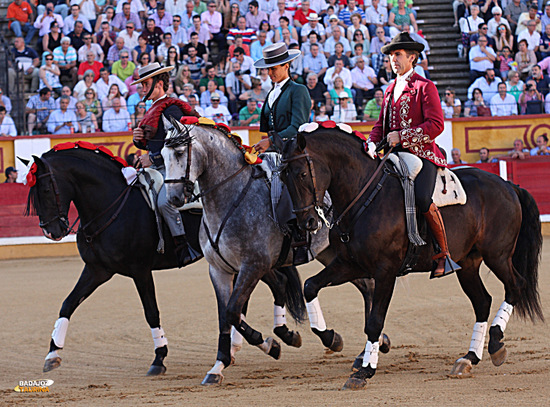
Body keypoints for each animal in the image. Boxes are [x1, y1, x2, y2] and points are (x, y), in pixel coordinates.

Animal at [25, 143, 306, 376]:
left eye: (46, 189)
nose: (52, 231)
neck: (112, 204)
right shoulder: (98, 269)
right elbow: (68, 303)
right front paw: (52, 354)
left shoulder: (139, 270)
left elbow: (151, 312)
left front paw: (159, 358)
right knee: (271, 286)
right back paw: (256, 343)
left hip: (248, 259)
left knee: (273, 285)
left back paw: (273, 339)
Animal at [278, 129, 544, 390]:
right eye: (282, 178)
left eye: (302, 174)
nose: (307, 223)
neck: (364, 197)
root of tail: (507, 185)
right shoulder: (349, 264)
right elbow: (310, 285)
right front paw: (331, 337)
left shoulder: (385, 271)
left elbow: (375, 321)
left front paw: (364, 371)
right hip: (468, 264)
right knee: (482, 302)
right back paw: (469, 359)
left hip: (497, 255)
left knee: (516, 286)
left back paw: (496, 343)